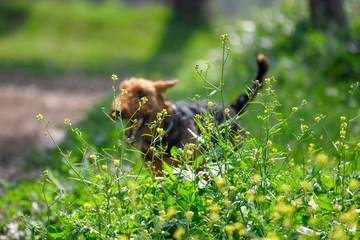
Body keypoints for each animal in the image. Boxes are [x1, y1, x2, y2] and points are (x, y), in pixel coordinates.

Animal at [111, 54, 268, 174]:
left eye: (141, 93)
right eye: (122, 90)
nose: (117, 111)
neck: (166, 131)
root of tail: (231, 108)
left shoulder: (198, 167)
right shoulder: (158, 172)